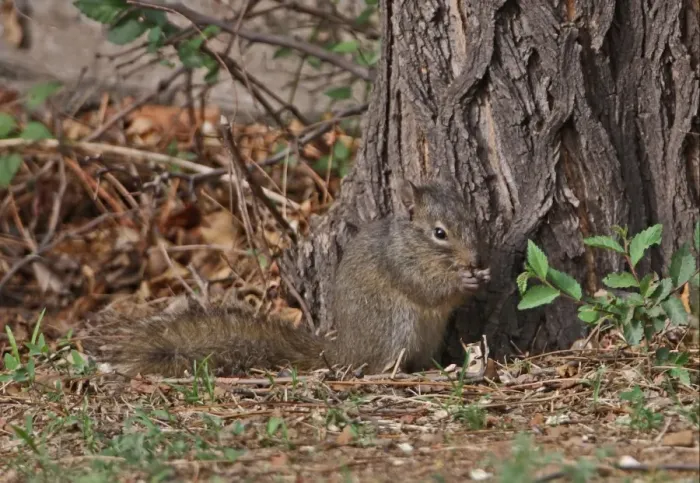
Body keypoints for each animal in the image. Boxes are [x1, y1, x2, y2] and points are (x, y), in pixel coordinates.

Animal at [106, 180, 491, 377]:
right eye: (439, 233)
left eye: (473, 221)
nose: (475, 259)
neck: (414, 244)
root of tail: (345, 352)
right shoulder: (400, 264)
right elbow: (427, 290)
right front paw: (465, 282)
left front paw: (482, 274)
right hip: (396, 327)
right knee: (377, 366)